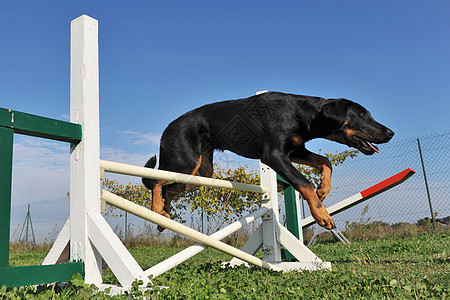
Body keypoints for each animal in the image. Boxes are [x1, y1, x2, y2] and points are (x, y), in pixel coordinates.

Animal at [144, 92, 394, 231]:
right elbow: (303, 182)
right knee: (155, 181)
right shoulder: (274, 155)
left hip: (199, 174)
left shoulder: (295, 151)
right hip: (183, 163)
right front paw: (322, 215)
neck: (307, 115)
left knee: (168, 190)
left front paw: (323, 190)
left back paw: (163, 217)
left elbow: (325, 162)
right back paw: (156, 210)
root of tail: (166, 130)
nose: (391, 133)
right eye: (362, 115)